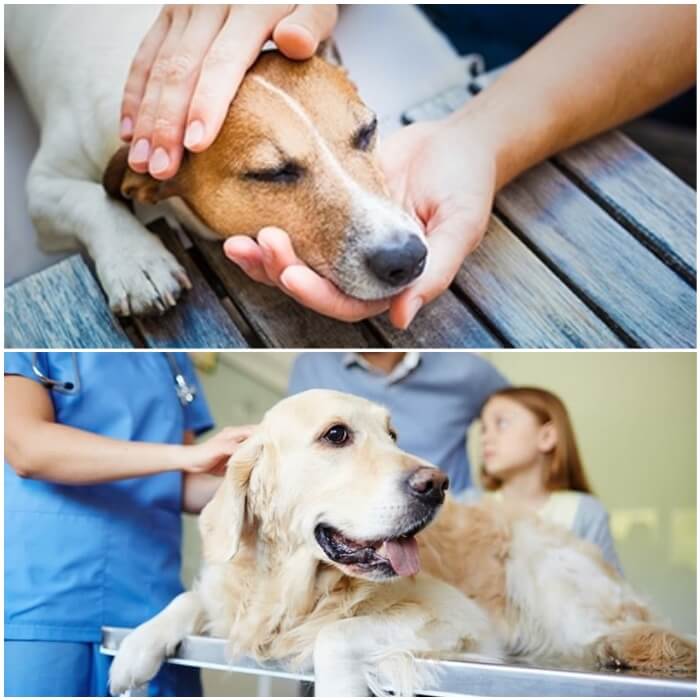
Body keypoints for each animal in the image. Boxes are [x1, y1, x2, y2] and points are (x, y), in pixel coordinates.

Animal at [5, 5, 426, 316]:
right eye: (271, 173)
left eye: (368, 131)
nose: (406, 257)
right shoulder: (44, 187)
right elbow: (90, 199)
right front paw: (136, 260)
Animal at [108, 392, 696, 696]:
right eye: (337, 435)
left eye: (393, 435)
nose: (436, 484)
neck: (298, 589)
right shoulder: (234, 600)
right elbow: (188, 598)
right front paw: (135, 650)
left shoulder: (459, 618)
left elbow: (336, 636)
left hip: (540, 563)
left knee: (632, 629)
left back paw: (622, 647)